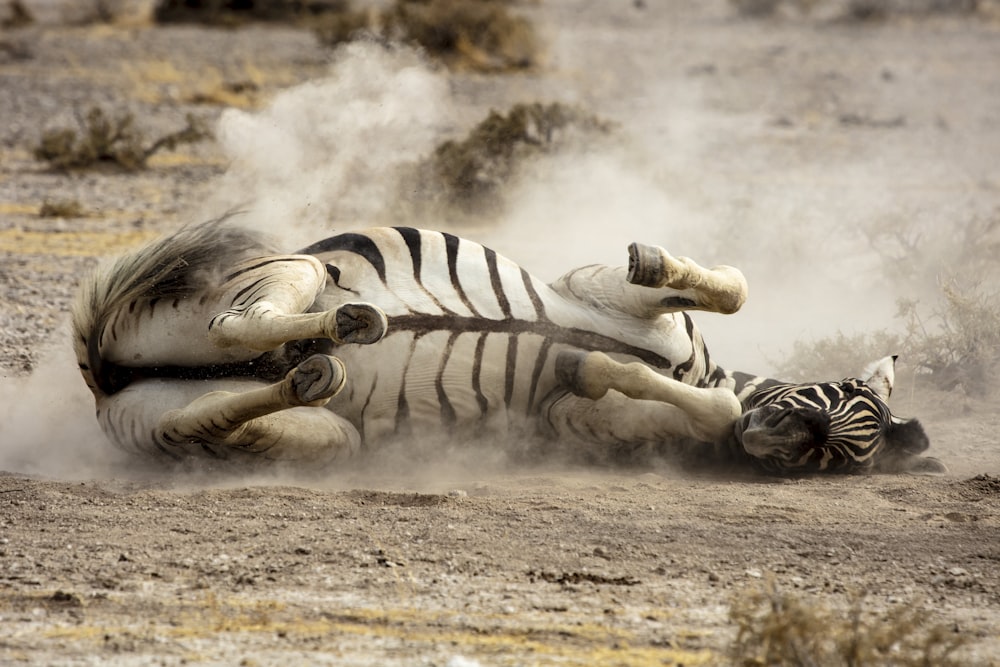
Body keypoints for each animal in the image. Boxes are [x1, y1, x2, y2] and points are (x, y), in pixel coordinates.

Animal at [72, 219, 944, 474]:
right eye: (835, 395)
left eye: (829, 458)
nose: (778, 436)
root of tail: (102, 373)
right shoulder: (597, 288)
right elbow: (728, 290)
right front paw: (655, 264)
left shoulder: (569, 420)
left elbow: (658, 392)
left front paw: (596, 366)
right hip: (289, 271)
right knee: (242, 321)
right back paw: (347, 325)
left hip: (257, 428)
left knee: (246, 396)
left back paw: (319, 362)